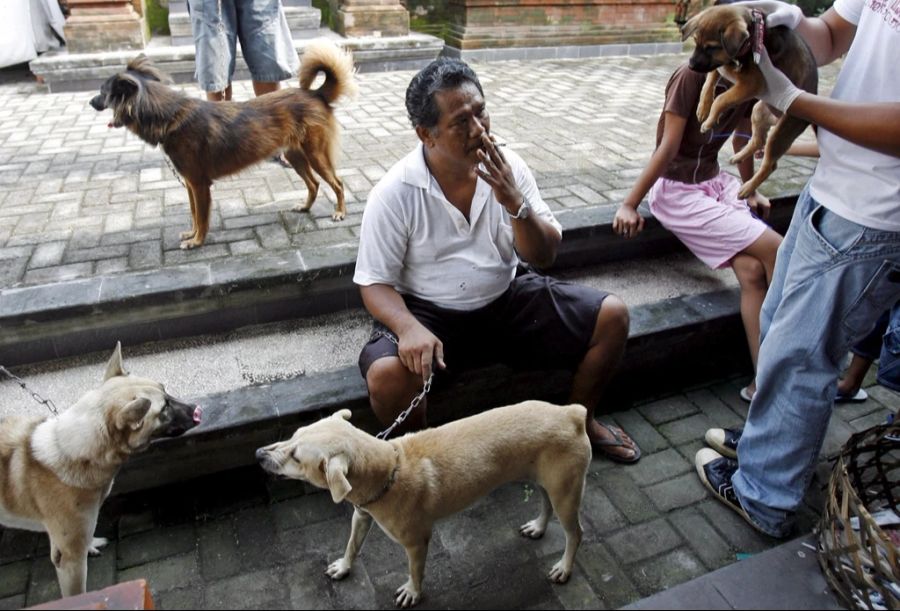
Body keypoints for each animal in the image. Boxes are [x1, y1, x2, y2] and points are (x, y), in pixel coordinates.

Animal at [0, 344, 200, 596]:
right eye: (164, 408)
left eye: (166, 391)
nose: (196, 409)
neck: (71, 451)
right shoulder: (69, 559)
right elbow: (76, 592)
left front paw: (91, 544)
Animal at [90, 39, 356, 250]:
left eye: (103, 92)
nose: (91, 102)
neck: (169, 117)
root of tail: (315, 94)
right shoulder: (190, 184)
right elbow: (194, 213)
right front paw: (191, 234)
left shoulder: (199, 185)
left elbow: (202, 217)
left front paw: (197, 241)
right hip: (295, 156)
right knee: (314, 184)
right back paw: (305, 207)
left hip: (316, 154)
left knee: (337, 183)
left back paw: (340, 212)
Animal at [256, 402, 596, 608]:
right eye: (292, 435)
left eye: (296, 457)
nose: (258, 454)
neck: (388, 469)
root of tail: (572, 413)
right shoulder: (361, 516)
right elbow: (352, 545)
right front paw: (343, 566)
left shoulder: (416, 542)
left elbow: (415, 571)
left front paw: (413, 592)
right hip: (544, 483)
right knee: (546, 506)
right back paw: (538, 527)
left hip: (566, 493)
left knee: (576, 533)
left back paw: (564, 568)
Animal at [684, 2, 820, 198]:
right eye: (695, 42)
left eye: (712, 47)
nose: (691, 65)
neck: (753, 34)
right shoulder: (723, 67)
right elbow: (711, 79)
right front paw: (703, 107)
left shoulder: (752, 82)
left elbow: (722, 98)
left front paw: (709, 120)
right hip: (759, 111)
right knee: (758, 140)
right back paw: (739, 156)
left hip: (782, 132)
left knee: (771, 163)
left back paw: (747, 188)